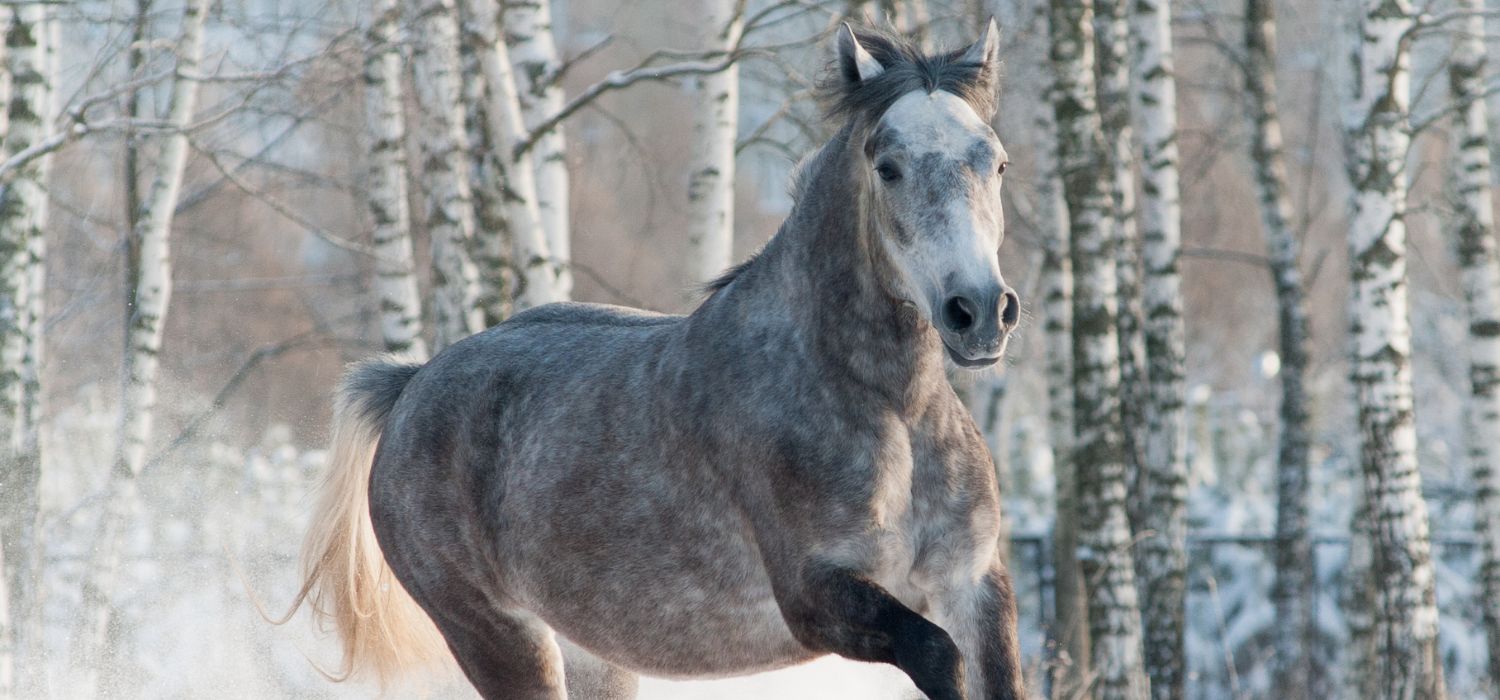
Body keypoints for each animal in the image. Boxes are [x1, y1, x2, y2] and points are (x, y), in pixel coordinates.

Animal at [286, 21, 1026, 700]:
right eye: (888, 166)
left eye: (996, 162)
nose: (979, 311)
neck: (890, 406)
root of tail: (411, 386)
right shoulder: (816, 595)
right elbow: (936, 655)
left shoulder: (972, 586)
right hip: (499, 637)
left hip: (596, 655)